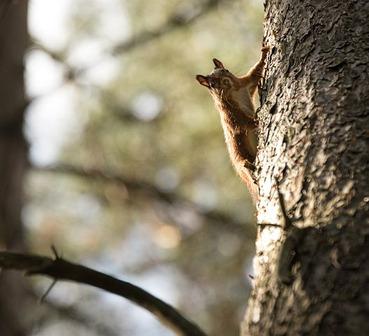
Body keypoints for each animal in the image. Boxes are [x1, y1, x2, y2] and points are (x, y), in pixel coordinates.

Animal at [194, 44, 268, 202]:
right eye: (212, 84)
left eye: (225, 70)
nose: (224, 80)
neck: (233, 91)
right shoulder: (231, 115)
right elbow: (244, 124)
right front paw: (258, 119)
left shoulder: (246, 84)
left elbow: (255, 72)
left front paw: (264, 52)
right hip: (243, 163)